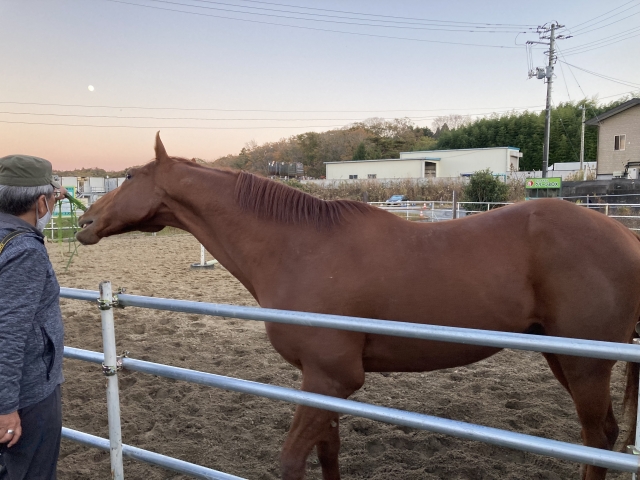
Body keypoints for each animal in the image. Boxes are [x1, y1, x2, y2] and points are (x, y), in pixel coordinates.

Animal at [77, 133, 640, 478]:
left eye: (131, 177)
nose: (84, 220)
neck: (300, 247)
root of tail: (624, 235)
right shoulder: (325, 383)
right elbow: (328, 454)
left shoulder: (331, 379)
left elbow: (292, 460)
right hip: (563, 356)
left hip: (586, 365)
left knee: (596, 438)